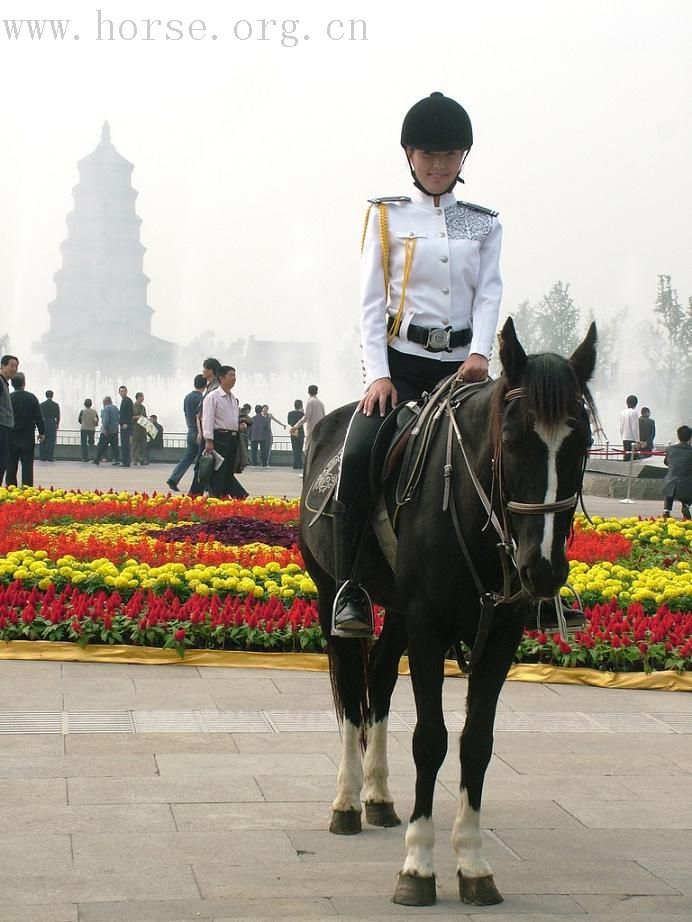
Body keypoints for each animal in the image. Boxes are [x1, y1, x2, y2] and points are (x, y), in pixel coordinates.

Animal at [298, 318, 596, 904]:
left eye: (583, 442)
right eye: (512, 440)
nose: (542, 569)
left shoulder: (499, 632)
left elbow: (476, 743)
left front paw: (474, 863)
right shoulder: (429, 626)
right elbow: (430, 739)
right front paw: (418, 864)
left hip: (396, 609)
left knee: (378, 681)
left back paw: (378, 796)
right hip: (330, 593)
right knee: (351, 690)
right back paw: (347, 802)